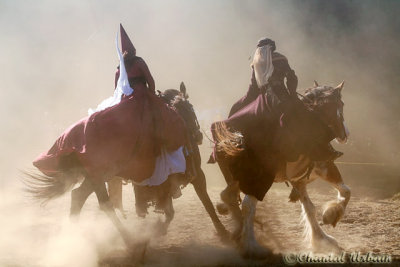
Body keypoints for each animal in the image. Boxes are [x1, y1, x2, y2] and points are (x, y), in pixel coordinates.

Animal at [212, 81, 350, 258]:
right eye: (341, 104)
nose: (345, 134)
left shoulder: (300, 180)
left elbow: (311, 208)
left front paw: (321, 238)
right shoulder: (326, 167)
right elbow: (345, 192)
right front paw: (330, 216)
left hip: (237, 179)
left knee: (228, 196)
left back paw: (238, 232)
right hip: (258, 180)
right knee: (248, 205)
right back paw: (252, 246)